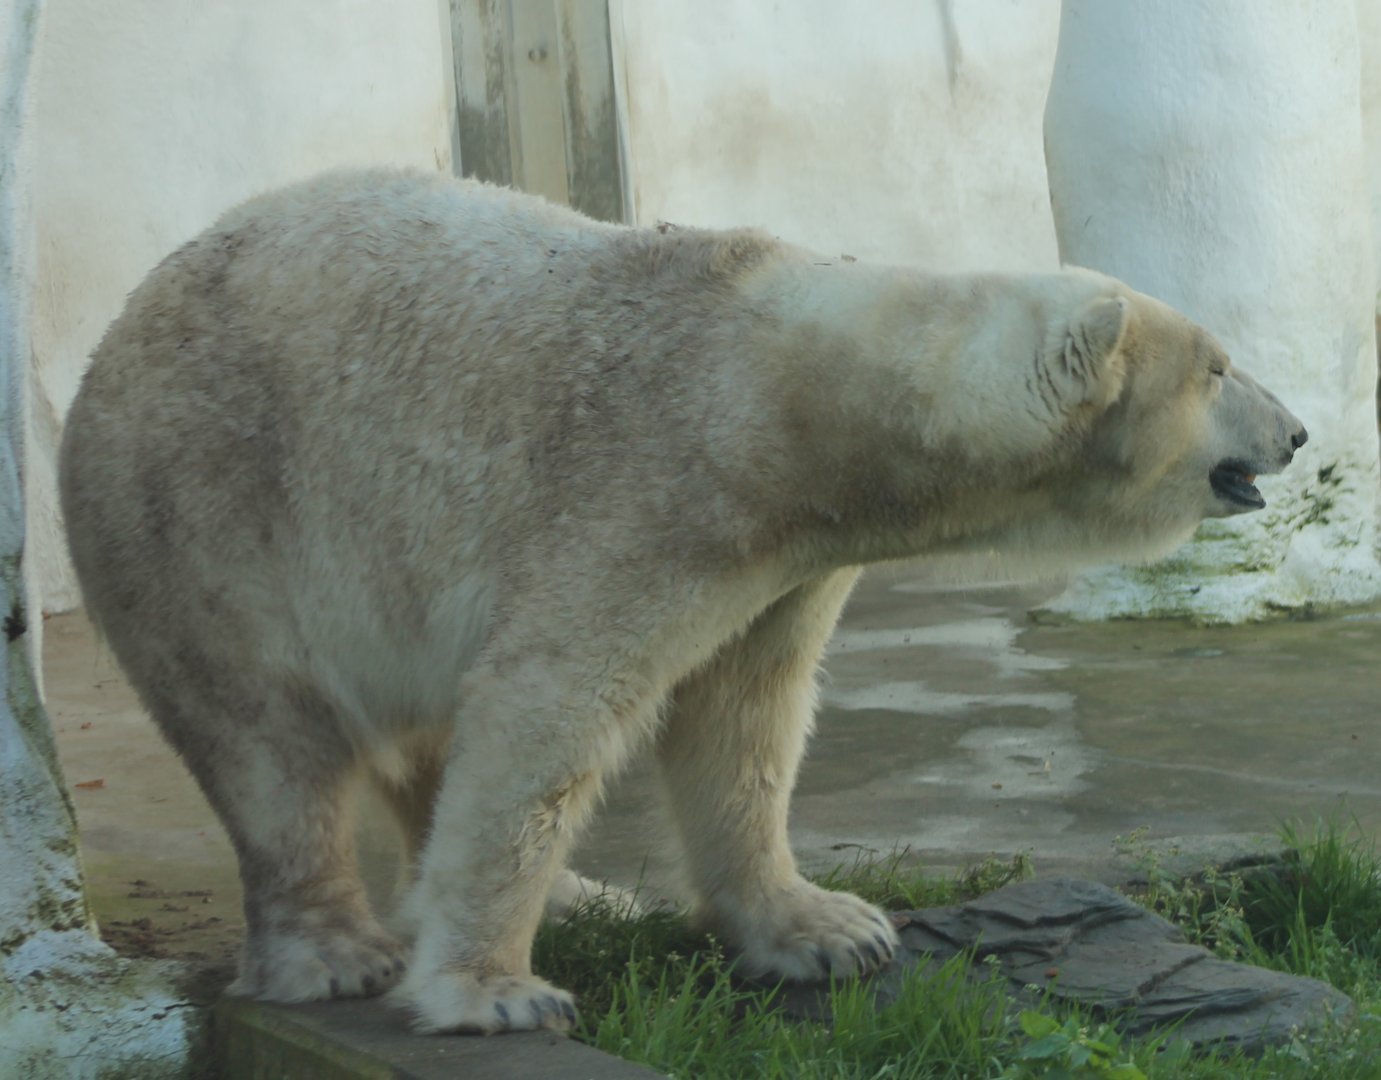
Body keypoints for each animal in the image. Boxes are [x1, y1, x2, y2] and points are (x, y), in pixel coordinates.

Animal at [58, 168, 1307, 1034]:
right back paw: (336, 952)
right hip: (201, 513)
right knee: (270, 741)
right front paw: (493, 994)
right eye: (1217, 367)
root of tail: (116, 326)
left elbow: (744, 722)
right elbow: (551, 712)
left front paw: (825, 930)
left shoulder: (782, 562)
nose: (1296, 432)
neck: (792, 399)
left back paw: (581, 898)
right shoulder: (648, 496)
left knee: (419, 735)